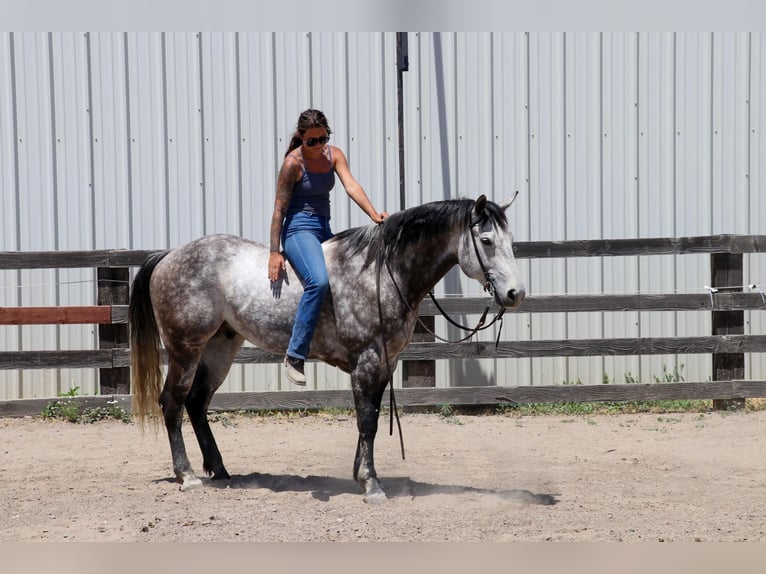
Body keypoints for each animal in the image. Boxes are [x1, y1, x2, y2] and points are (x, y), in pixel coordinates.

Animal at [132, 196, 528, 502]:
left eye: (511, 240)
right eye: (487, 240)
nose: (516, 294)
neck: (382, 272)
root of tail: (169, 256)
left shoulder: (384, 364)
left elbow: (368, 419)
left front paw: (360, 474)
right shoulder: (367, 362)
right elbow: (367, 420)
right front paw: (371, 484)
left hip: (219, 348)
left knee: (198, 404)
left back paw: (220, 469)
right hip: (185, 349)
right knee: (173, 403)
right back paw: (187, 476)